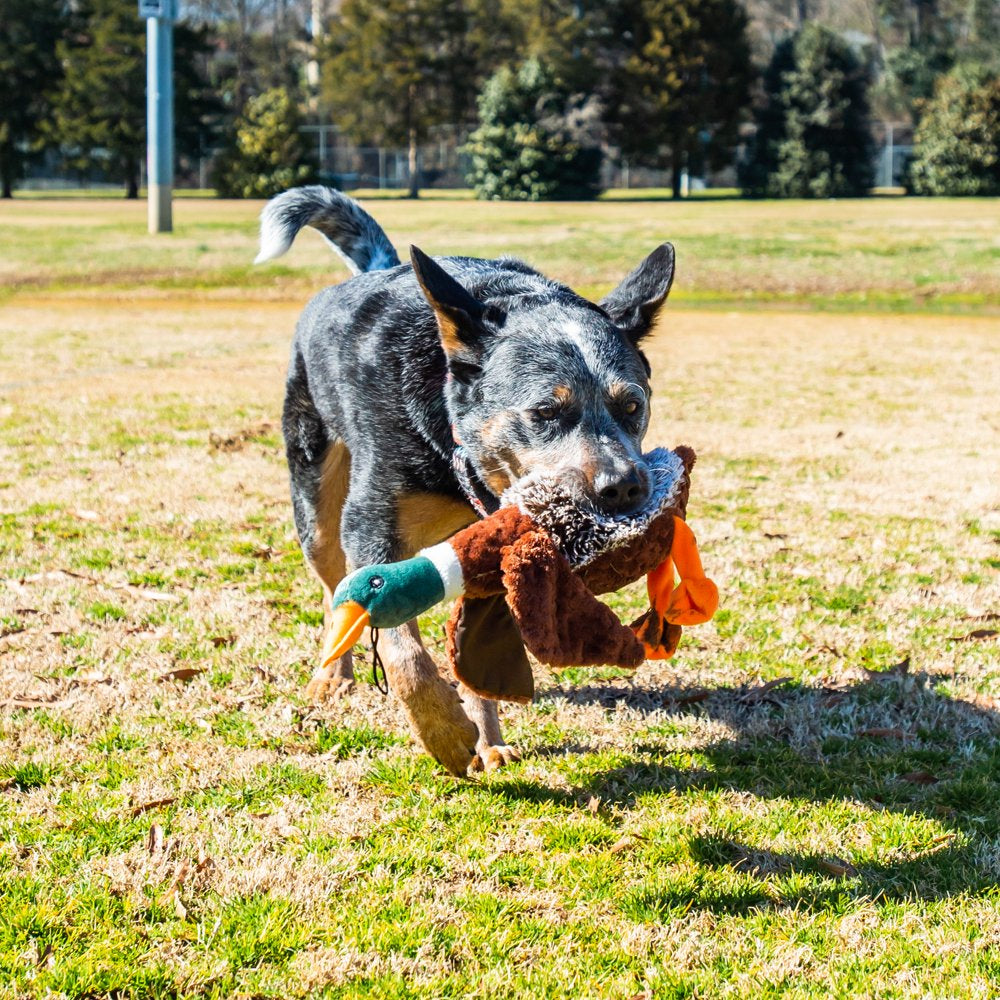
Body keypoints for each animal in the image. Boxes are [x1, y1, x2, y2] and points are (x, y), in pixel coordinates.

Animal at [258, 188, 676, 776]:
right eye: (546, 411)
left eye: (632, 405)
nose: (623, 487)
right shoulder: (371, 526)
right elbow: (401, 647)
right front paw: (445, 734)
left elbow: (473, 647)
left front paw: (486, 738)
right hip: (314, 495)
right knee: (333, 587)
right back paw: (330, 676)